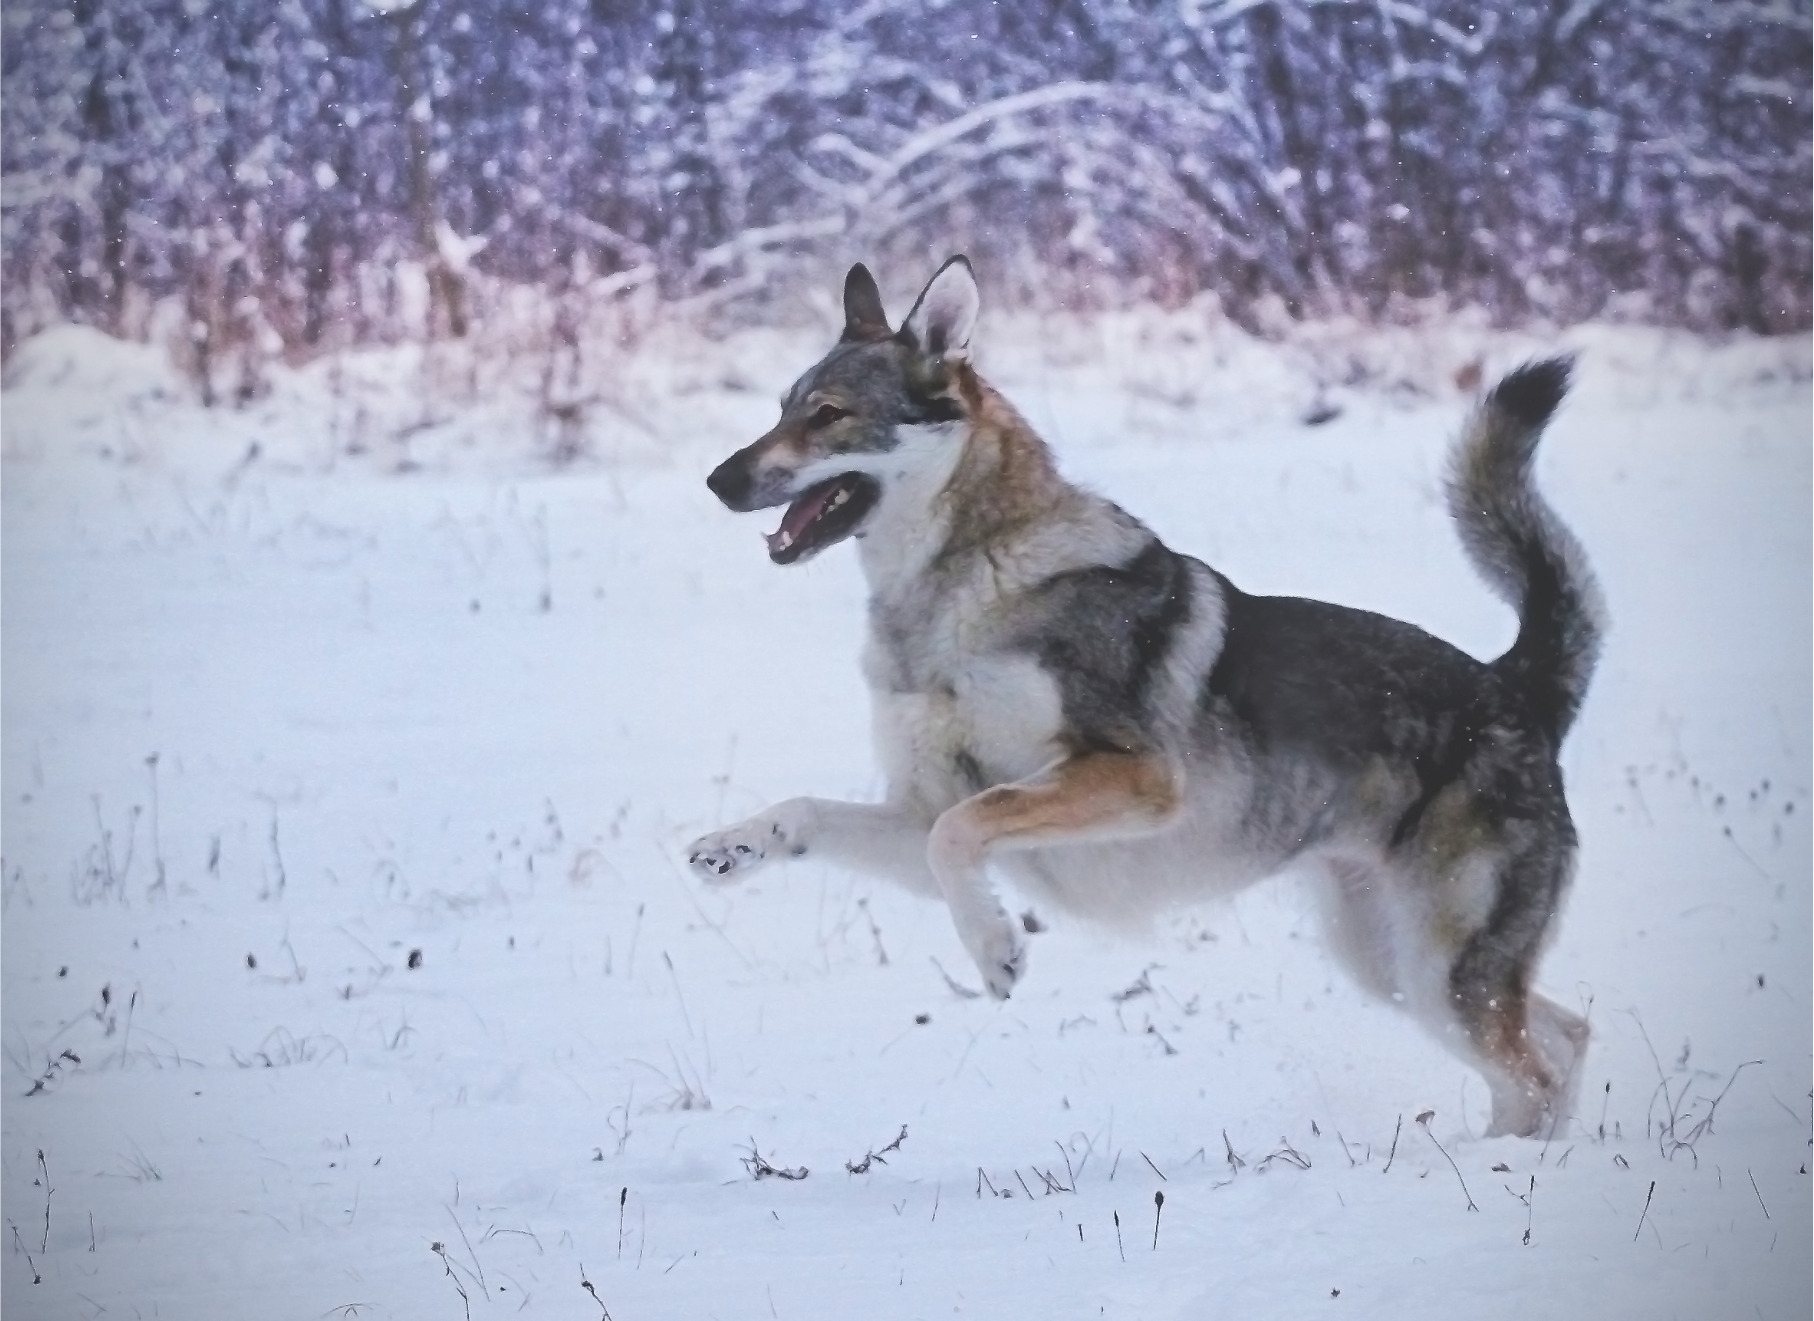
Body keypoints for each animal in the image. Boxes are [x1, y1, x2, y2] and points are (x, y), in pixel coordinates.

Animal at [689, 257, 1603, 1132]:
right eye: (781, 408)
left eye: (829, 414)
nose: (716, 480)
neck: (956, 592)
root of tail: (1516, 684)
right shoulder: (925, 813)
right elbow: (813, 813)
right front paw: (733, 848)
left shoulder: (1130, 778)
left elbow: (961, 833)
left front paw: (994, 950)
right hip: (1396, 966)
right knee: (1565, 1039)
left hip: (1442, 971)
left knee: (1534, 1071)